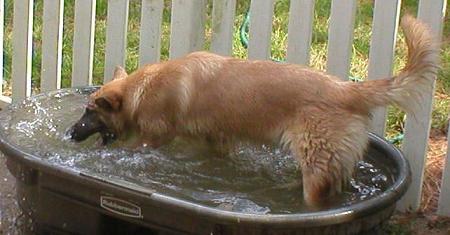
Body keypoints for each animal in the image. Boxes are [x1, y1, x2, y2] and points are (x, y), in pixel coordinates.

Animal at [72, 15, 438, 206]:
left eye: (90, 112)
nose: (70, 133)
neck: (141, 88)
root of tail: (348, 89)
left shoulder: (153, 138)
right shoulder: (215, 139)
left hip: (315, 166)